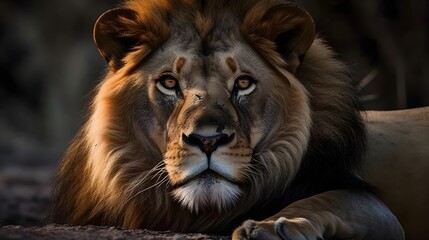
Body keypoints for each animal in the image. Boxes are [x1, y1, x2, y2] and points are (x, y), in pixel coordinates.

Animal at [49, 0, 424, 239]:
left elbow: (324, 198)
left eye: (243, 84)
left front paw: (274, 226)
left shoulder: (374, 207)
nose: (207, 140)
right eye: (169, 83)